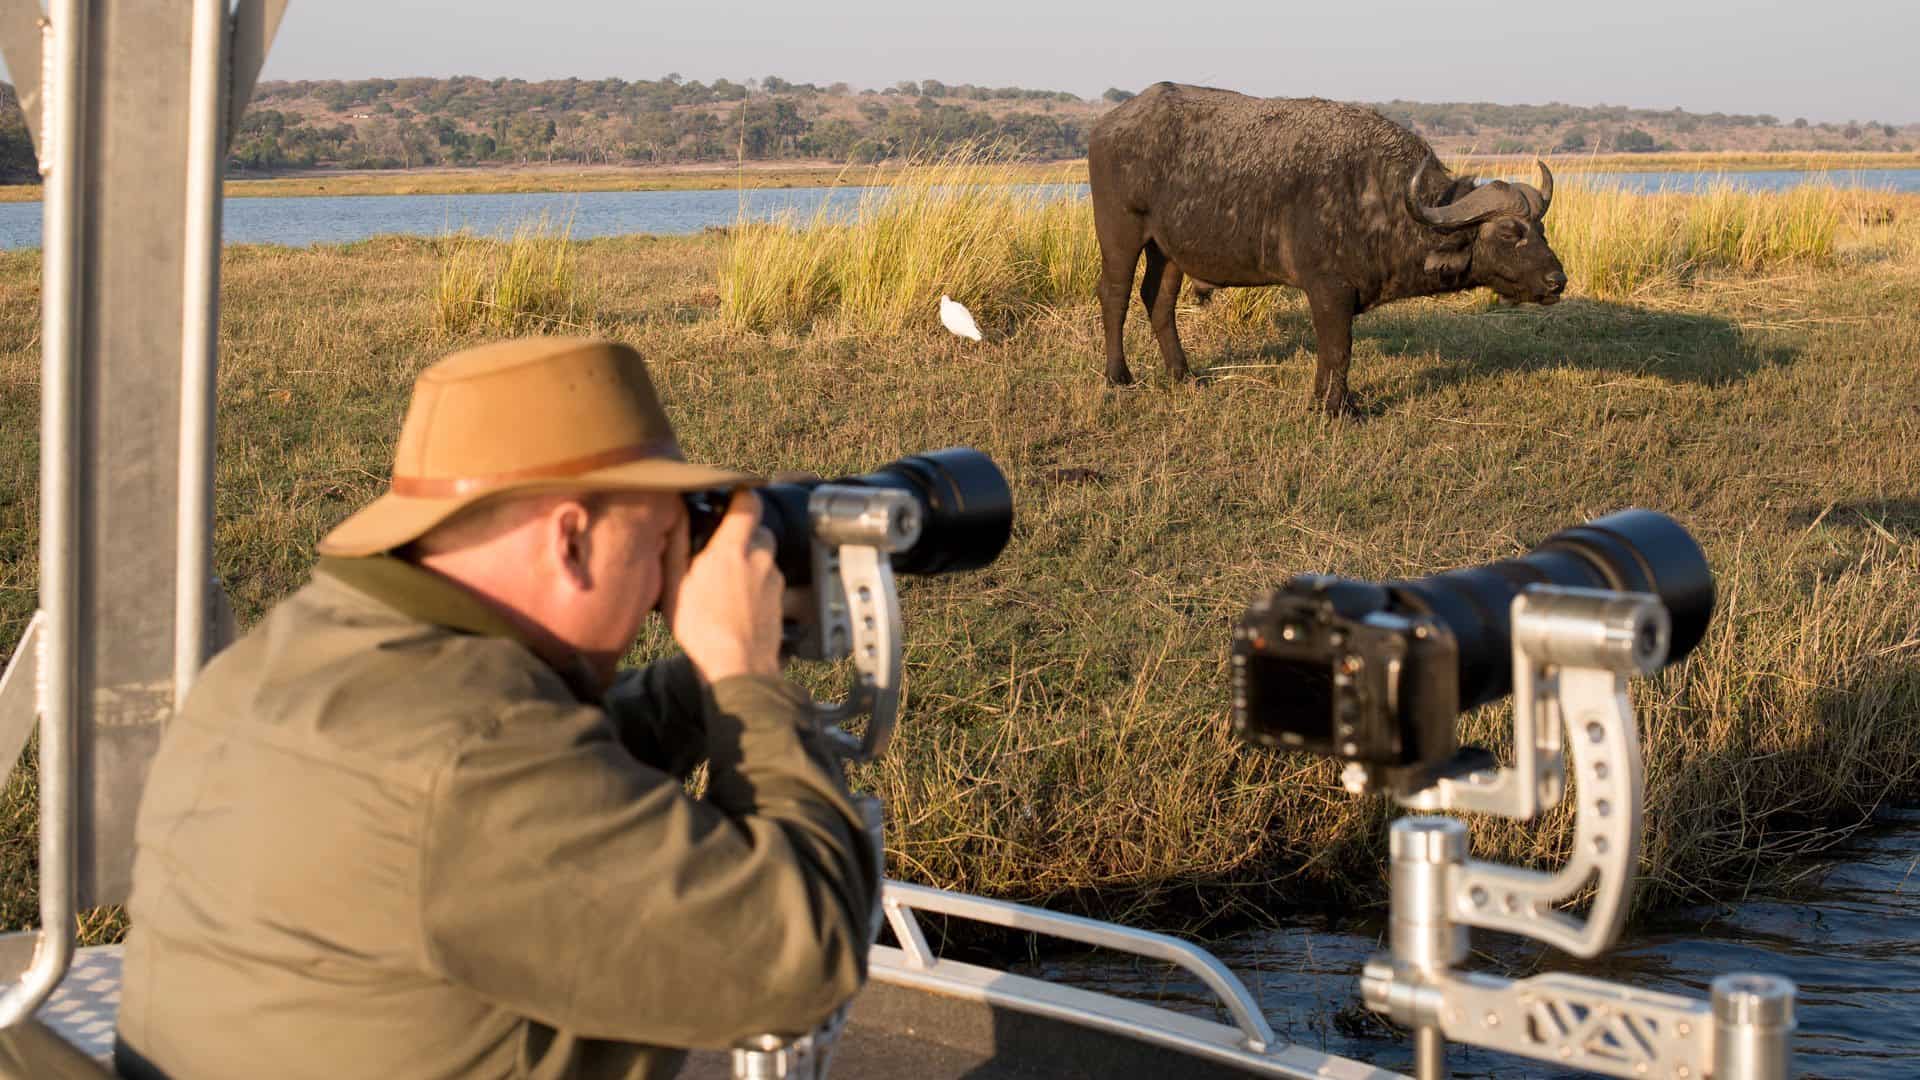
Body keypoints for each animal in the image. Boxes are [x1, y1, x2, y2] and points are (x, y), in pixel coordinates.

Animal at [1089, 83, 1567, 413]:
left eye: (1540, 228)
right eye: (1509, 232)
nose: (1557, 280)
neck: (1379, 199)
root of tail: (1107, 125)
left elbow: (1332, 352)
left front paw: (1327, 399)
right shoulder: (1328, 290)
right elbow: (1338, 349)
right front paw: (1336, 408)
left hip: (1168, 249)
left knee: (1158, 299)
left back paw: (1182, 374)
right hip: (1120, 234)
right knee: (1114, 295)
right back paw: (1119, 376)